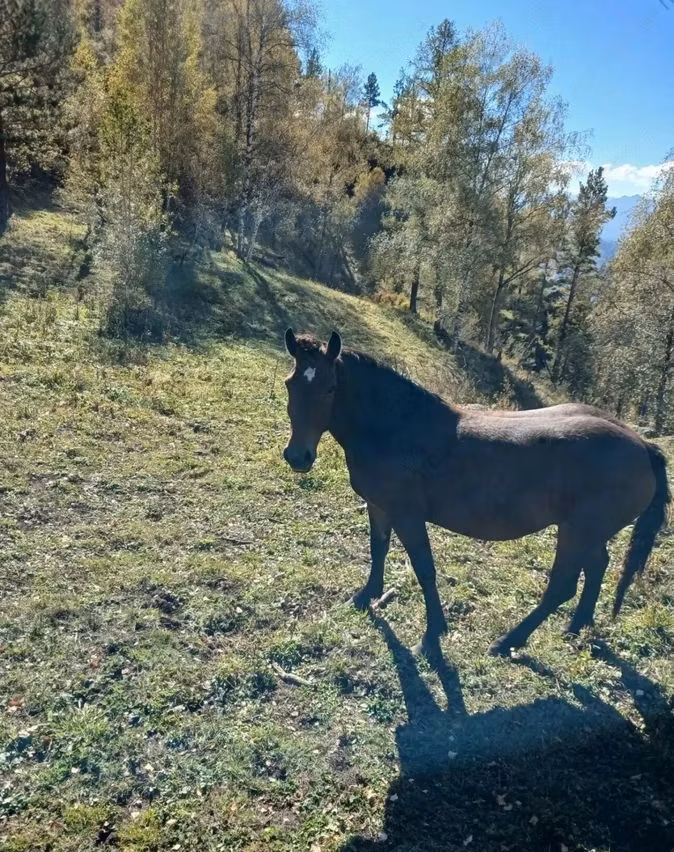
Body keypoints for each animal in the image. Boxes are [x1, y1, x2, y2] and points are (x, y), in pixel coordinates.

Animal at [281, 329, 670, 657]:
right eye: (290, 385)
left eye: (330, 388)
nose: (298, 457)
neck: (397, 429)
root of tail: (643, 445)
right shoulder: (379, 506)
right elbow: (378, 549)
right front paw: (366, 597)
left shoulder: (408, 516)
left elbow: (424, 569)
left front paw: (432, 634)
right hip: (589, 533)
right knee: (597, 567)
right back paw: (576, 627)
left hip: (578, 532)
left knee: (562, 586)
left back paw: (508, 641)